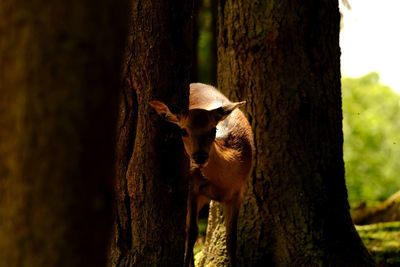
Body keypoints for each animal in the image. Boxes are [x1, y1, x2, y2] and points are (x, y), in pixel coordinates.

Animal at [148, 83, 255, 267]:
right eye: (183, 131)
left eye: (213, 129)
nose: (199, 157)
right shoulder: (192, 188)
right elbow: (191, 232)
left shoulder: (238, 192)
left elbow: (231, 240)